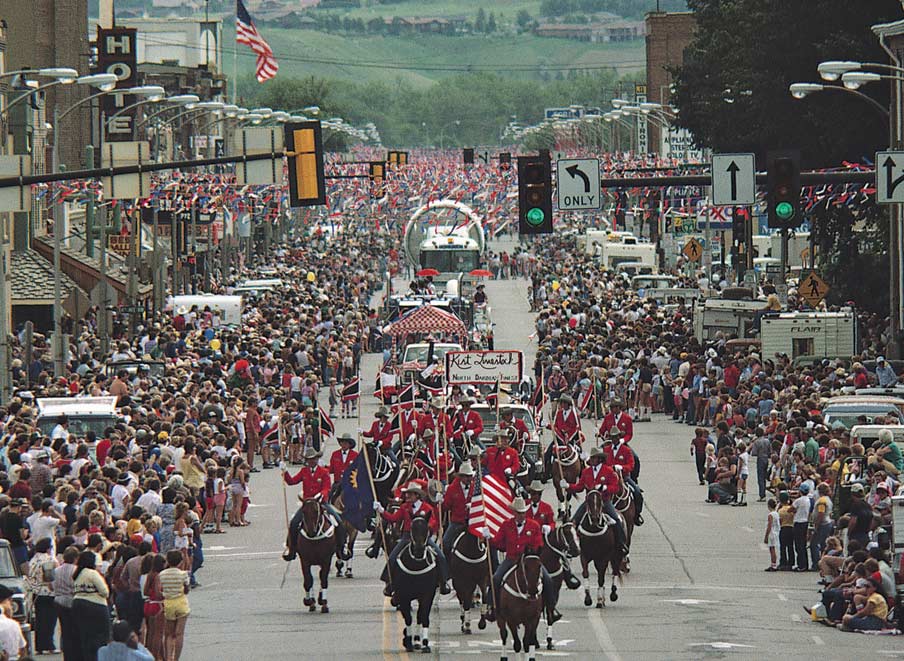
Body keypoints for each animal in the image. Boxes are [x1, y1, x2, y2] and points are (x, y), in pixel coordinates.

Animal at [394, 520, 440, 652]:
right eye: (412, 528)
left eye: (427, 528)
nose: (419, 550)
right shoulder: (403, 595)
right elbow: (408, 618)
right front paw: (408, 642)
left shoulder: (428, 594)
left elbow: (423, 615)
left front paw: (424, 643)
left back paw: (418, 641)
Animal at [540, 520, 584, 648]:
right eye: (567, 533)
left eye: (576, 532)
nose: (577, 550)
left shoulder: (555, 591)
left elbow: (550, 613)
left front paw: (550, 641)